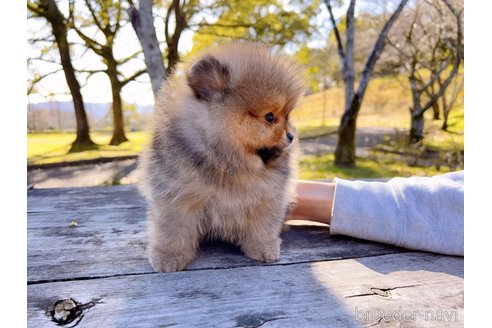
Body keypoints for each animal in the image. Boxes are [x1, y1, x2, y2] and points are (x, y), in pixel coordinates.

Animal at [138, 42, 306, 272]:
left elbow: (263, 226)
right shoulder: (177, 197)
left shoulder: (266, 198)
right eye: (270, 117)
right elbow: (173, 229)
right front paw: (168, 257)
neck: (226, 162)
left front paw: (264, 248)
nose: (291, 136)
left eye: (287, 116)